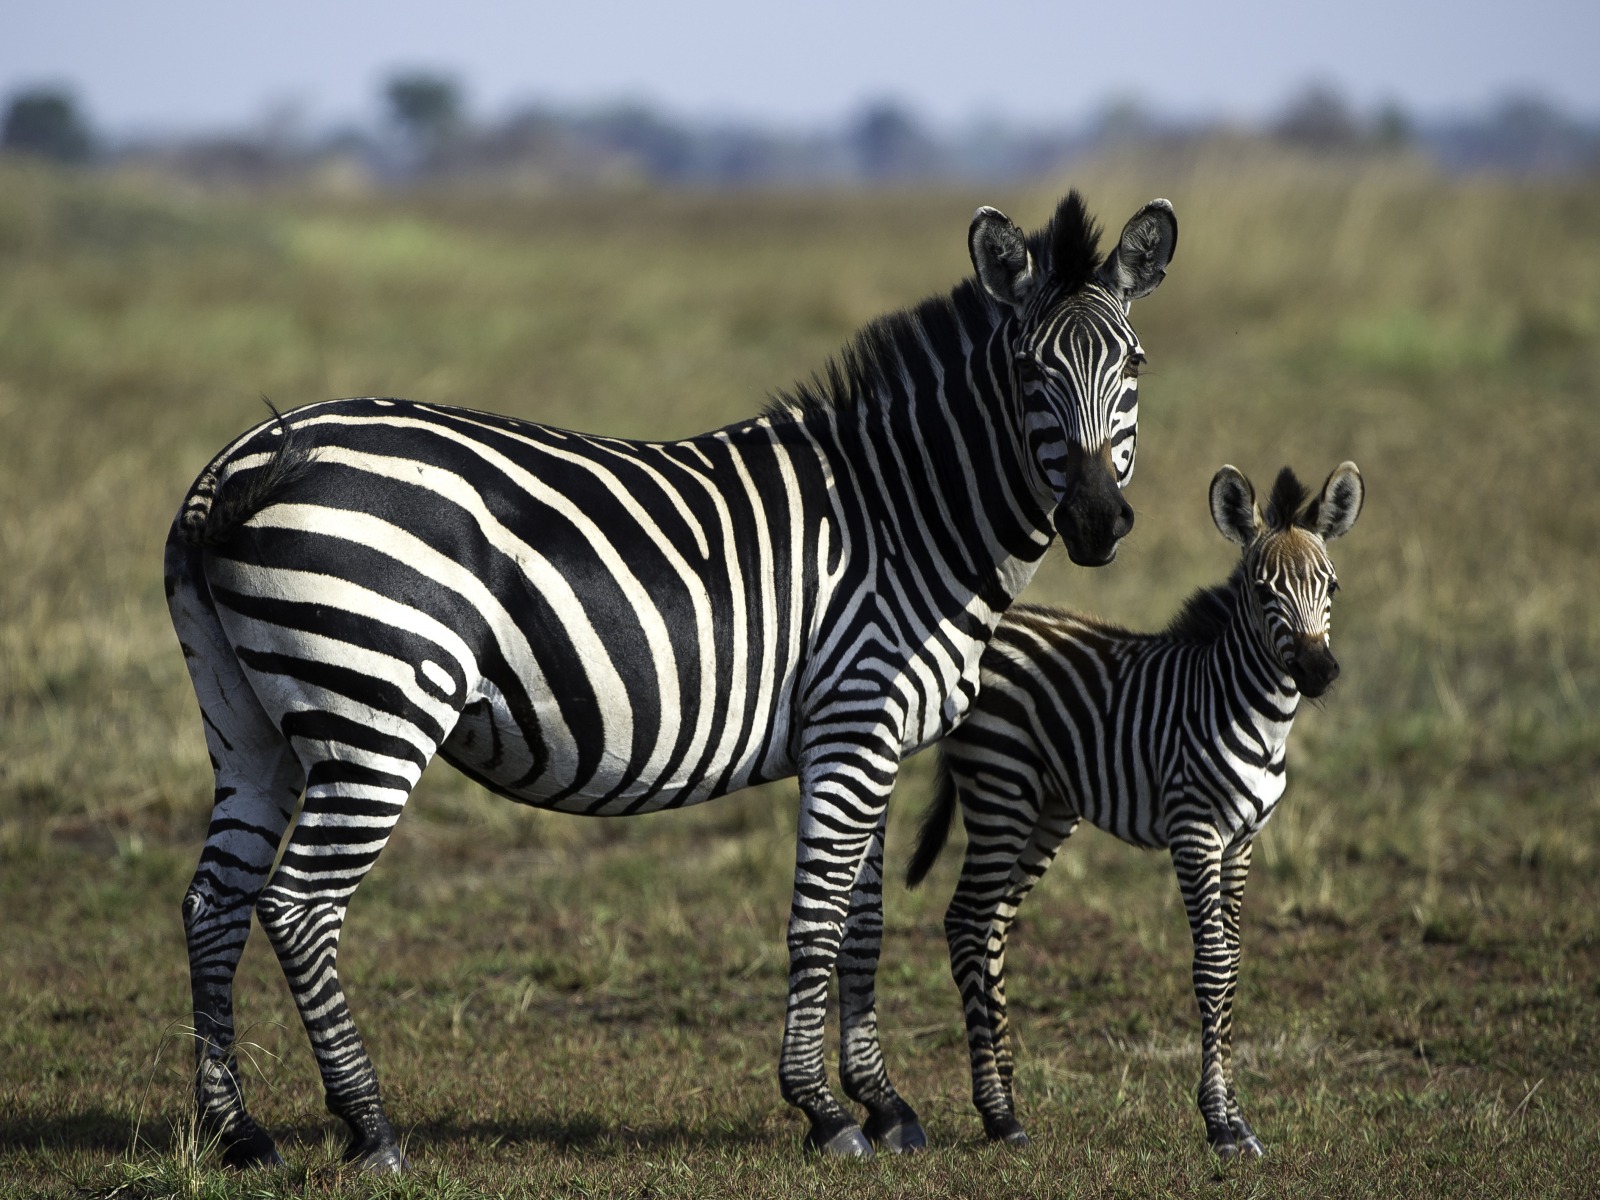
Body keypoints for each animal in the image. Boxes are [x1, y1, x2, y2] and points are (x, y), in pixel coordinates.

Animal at [163, 190, 1177, 1170]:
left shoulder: (873, 738)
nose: (1097, 524)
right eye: (1030, 374)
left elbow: (865, 924)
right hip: (377, 713)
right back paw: (370, 1130)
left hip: (245, 721)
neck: (908, 515)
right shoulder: (854, 722)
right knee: (298, 908)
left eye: (1133, 368)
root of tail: (246, 457)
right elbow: (818, 922)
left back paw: (238, 1133)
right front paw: (824, 1113)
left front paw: (886, 1105)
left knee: (215, 903)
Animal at [905, 461, 1364, 1158]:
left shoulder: (1243, 840)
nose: (1318, 671)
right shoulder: (1195, 831)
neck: (1252, 712)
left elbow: (1233, 964)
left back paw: (1007, 1101)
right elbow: (1211, 967)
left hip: (1047, 809)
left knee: (992, 930)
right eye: (1262, 593)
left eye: (1331, 586)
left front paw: (1238, 1119)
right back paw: (997, 1112)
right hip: (1000, 788)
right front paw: (1219, 1124)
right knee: (965, 923)